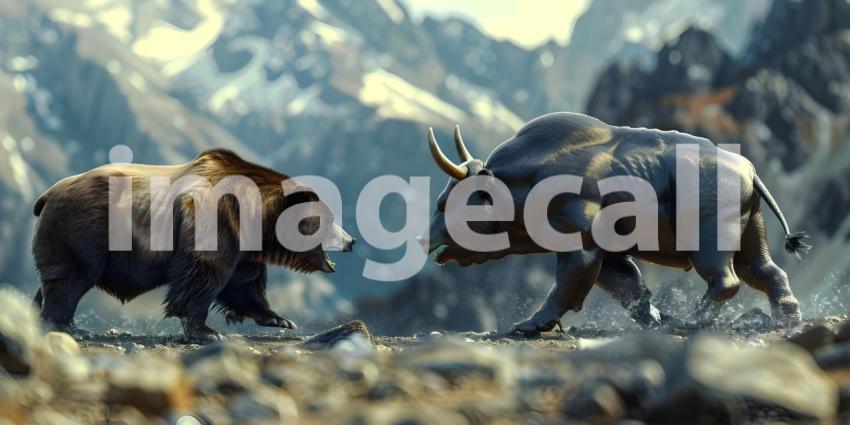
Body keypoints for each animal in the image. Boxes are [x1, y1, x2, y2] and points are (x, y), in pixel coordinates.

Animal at [32, 149, 354, 342]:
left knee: (54, 280)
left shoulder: (243, 244)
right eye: (327, 219)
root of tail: (47, 194)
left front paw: (281, 319)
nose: (351, 241)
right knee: (72, 279)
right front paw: (207, 331)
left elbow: (244, 283)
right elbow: (206, 272)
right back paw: (70, 326)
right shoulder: (217, 220)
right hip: (84, 231)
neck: (257, 216)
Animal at [423, 112, 809, 334]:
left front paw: (531, 324)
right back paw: (786, 317)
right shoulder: (606, 252)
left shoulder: (579, 242)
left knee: (726, 280)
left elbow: (567, 286)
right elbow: (629, 287)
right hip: (750, 232)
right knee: (767, 271)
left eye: (452, 202)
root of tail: (749, 170)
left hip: (707, 236)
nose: (422, 240)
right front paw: (656, 318)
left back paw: (693, 320)